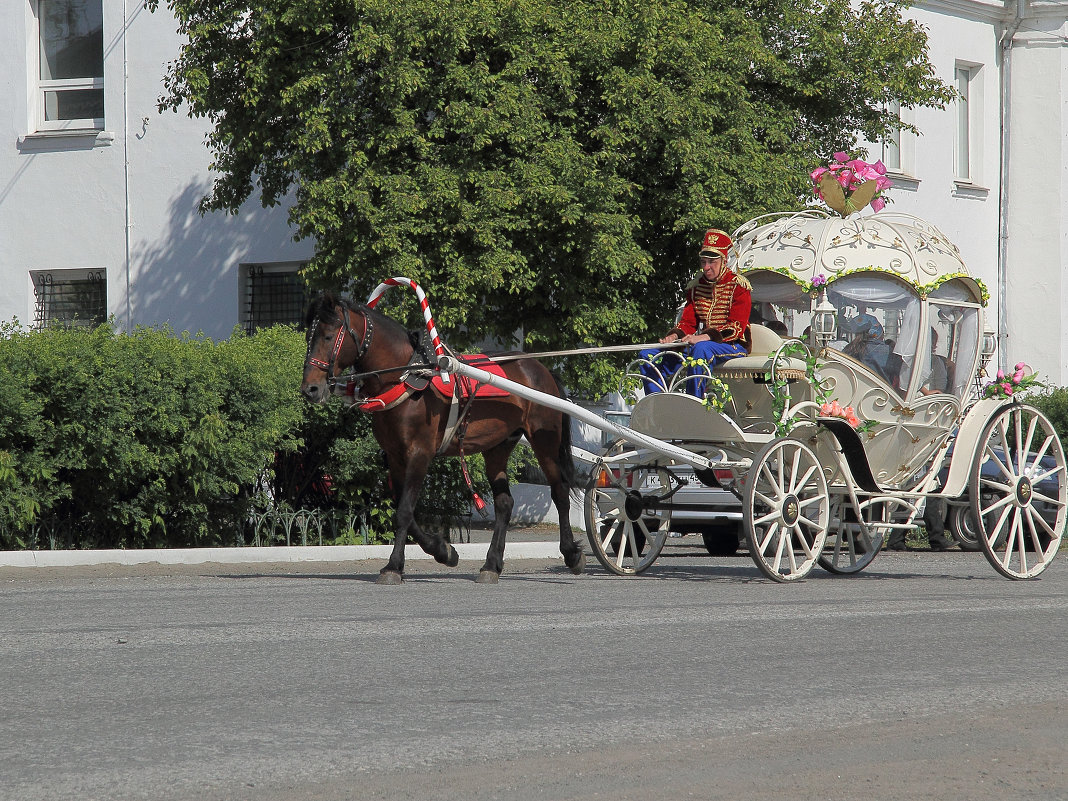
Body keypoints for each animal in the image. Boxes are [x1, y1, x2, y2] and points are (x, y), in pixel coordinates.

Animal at [299, 292, 585, 585]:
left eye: (328, 336)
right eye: (308, 335)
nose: (310, 388)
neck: (409, 376)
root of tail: (541, 369)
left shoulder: (419, 453)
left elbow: (404, 510)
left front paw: (393, 566)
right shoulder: (395, 456)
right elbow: (405, 510)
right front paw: (443, 550)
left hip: (544, 440)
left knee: (560, 491)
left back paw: (571, 554)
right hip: (498, 445)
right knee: (505, 503)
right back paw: (491, 565)